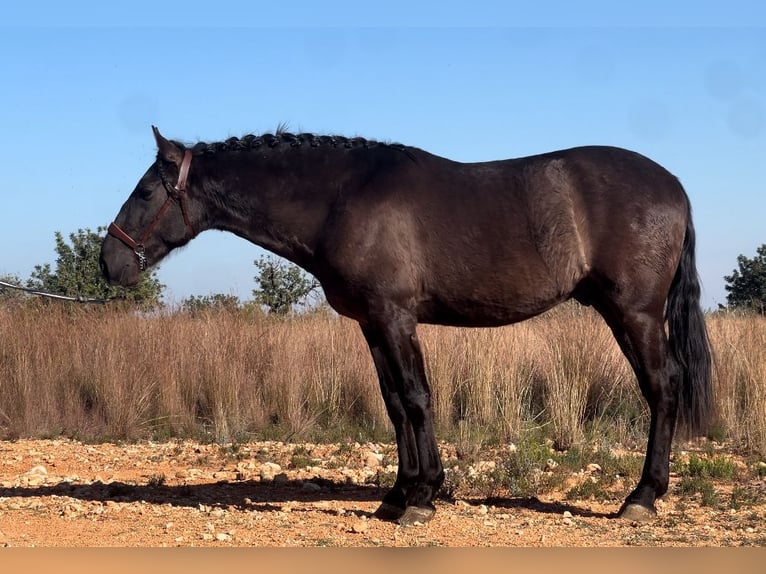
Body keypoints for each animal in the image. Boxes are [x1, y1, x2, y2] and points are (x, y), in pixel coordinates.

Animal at [100, 128, 712, 528]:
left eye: (146, 192)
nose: (110, 263)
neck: (341, 199)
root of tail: (675, 186)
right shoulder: (373, 324)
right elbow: (394, 403)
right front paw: (399, 492)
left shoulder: (396, 317)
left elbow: (417, 398)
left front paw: (422, 497)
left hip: (633, 313)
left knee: (662, 387)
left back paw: (642, 498)